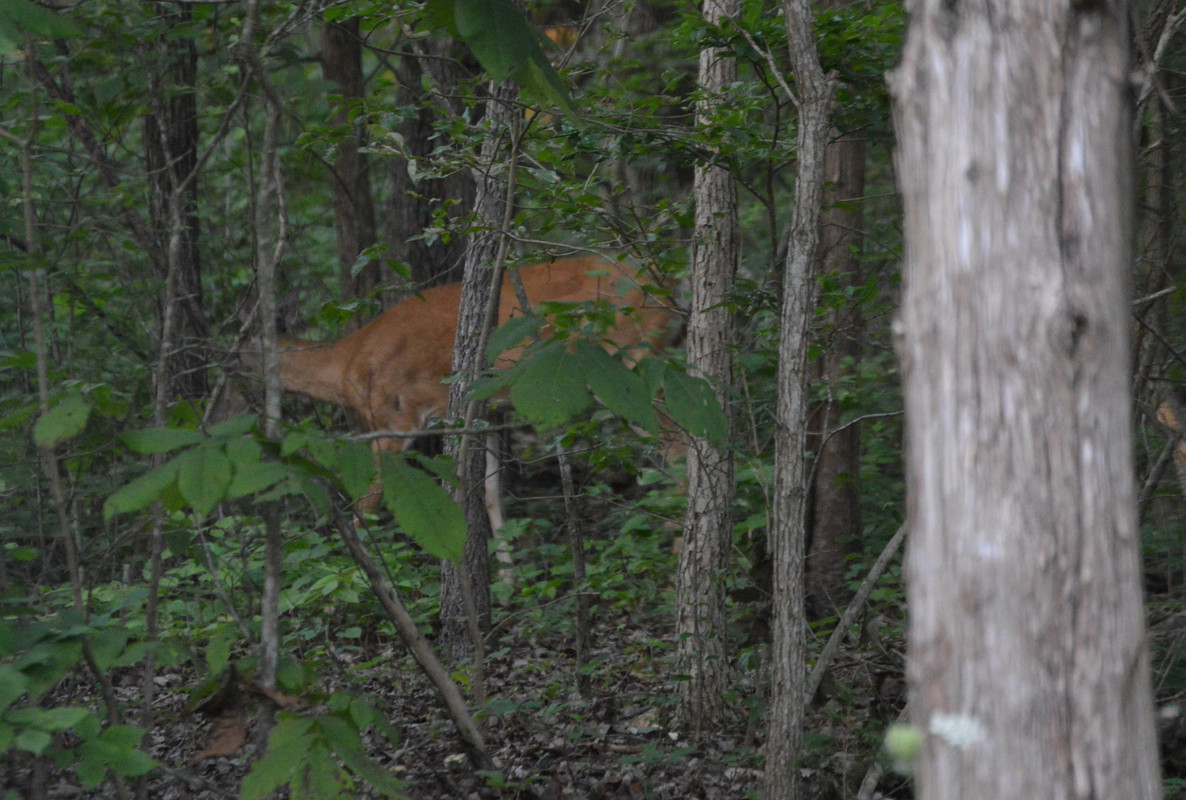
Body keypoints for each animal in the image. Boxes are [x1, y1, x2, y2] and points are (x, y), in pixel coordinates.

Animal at [240, 256, 679, 579]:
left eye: (243, 344)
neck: (345, 367)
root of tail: (666, 284)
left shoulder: (397, 416)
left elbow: (369, 503)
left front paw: (356, 581)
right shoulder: (485, 412)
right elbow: (489, 493)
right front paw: (508, 582)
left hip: (628, 364)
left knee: (678, 441)